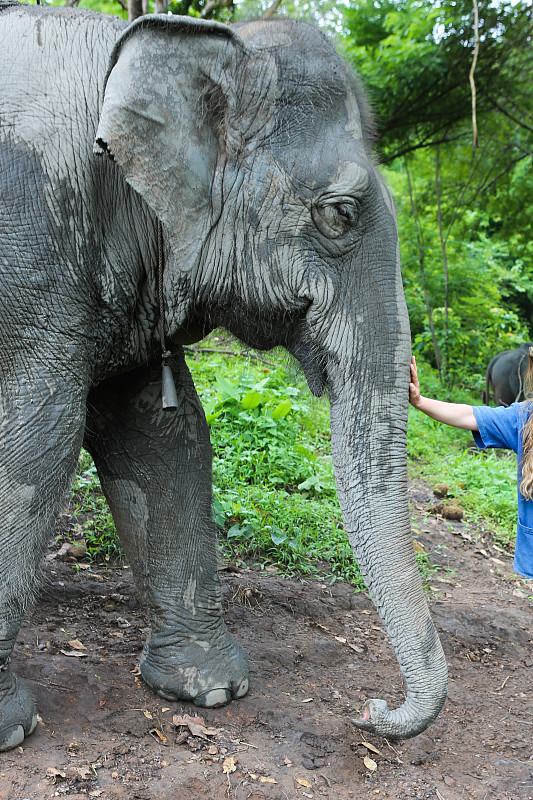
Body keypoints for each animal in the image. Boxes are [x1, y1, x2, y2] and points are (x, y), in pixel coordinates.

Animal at [1, 0, 448, 752]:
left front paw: (210, 689)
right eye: (340, 213)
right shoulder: (32, 246)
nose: (371, 711)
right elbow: (38, 440)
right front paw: (10, 729)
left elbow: (162, 438)